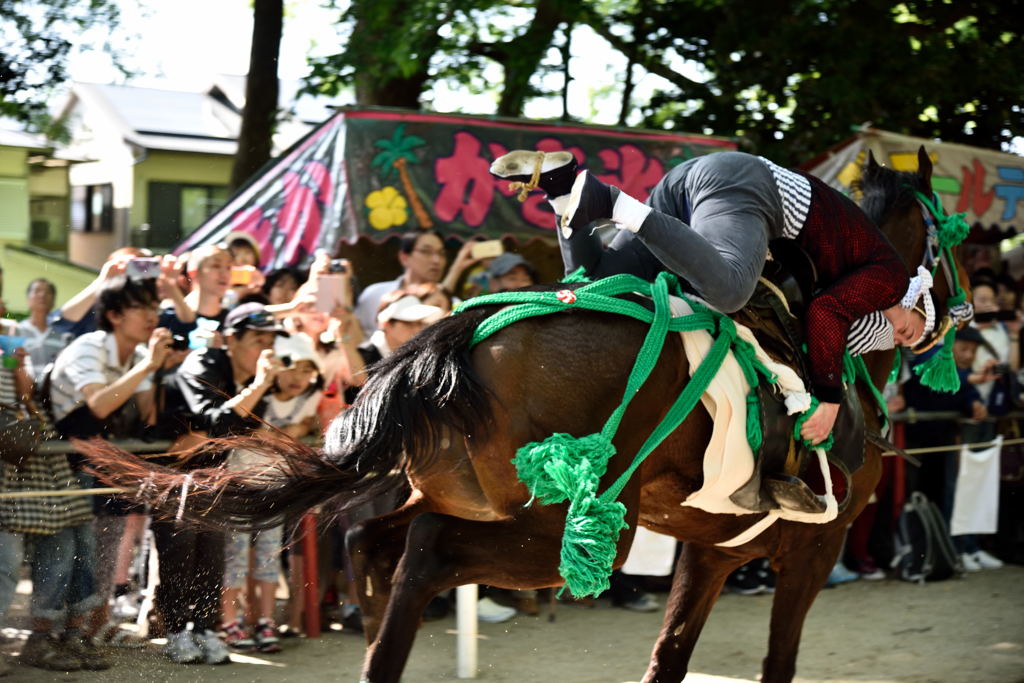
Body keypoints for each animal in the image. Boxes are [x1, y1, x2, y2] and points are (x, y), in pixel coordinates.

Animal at [83, 147, 962, 679]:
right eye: (946, 242)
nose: (948, 313)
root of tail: (458, 335)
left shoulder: (714, 547)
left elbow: (671, 655)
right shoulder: (810, 551)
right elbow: (774, 660)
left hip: (456, 493)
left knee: (371, 539)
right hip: (558, 527)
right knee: (425, 551)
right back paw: (579, 187)